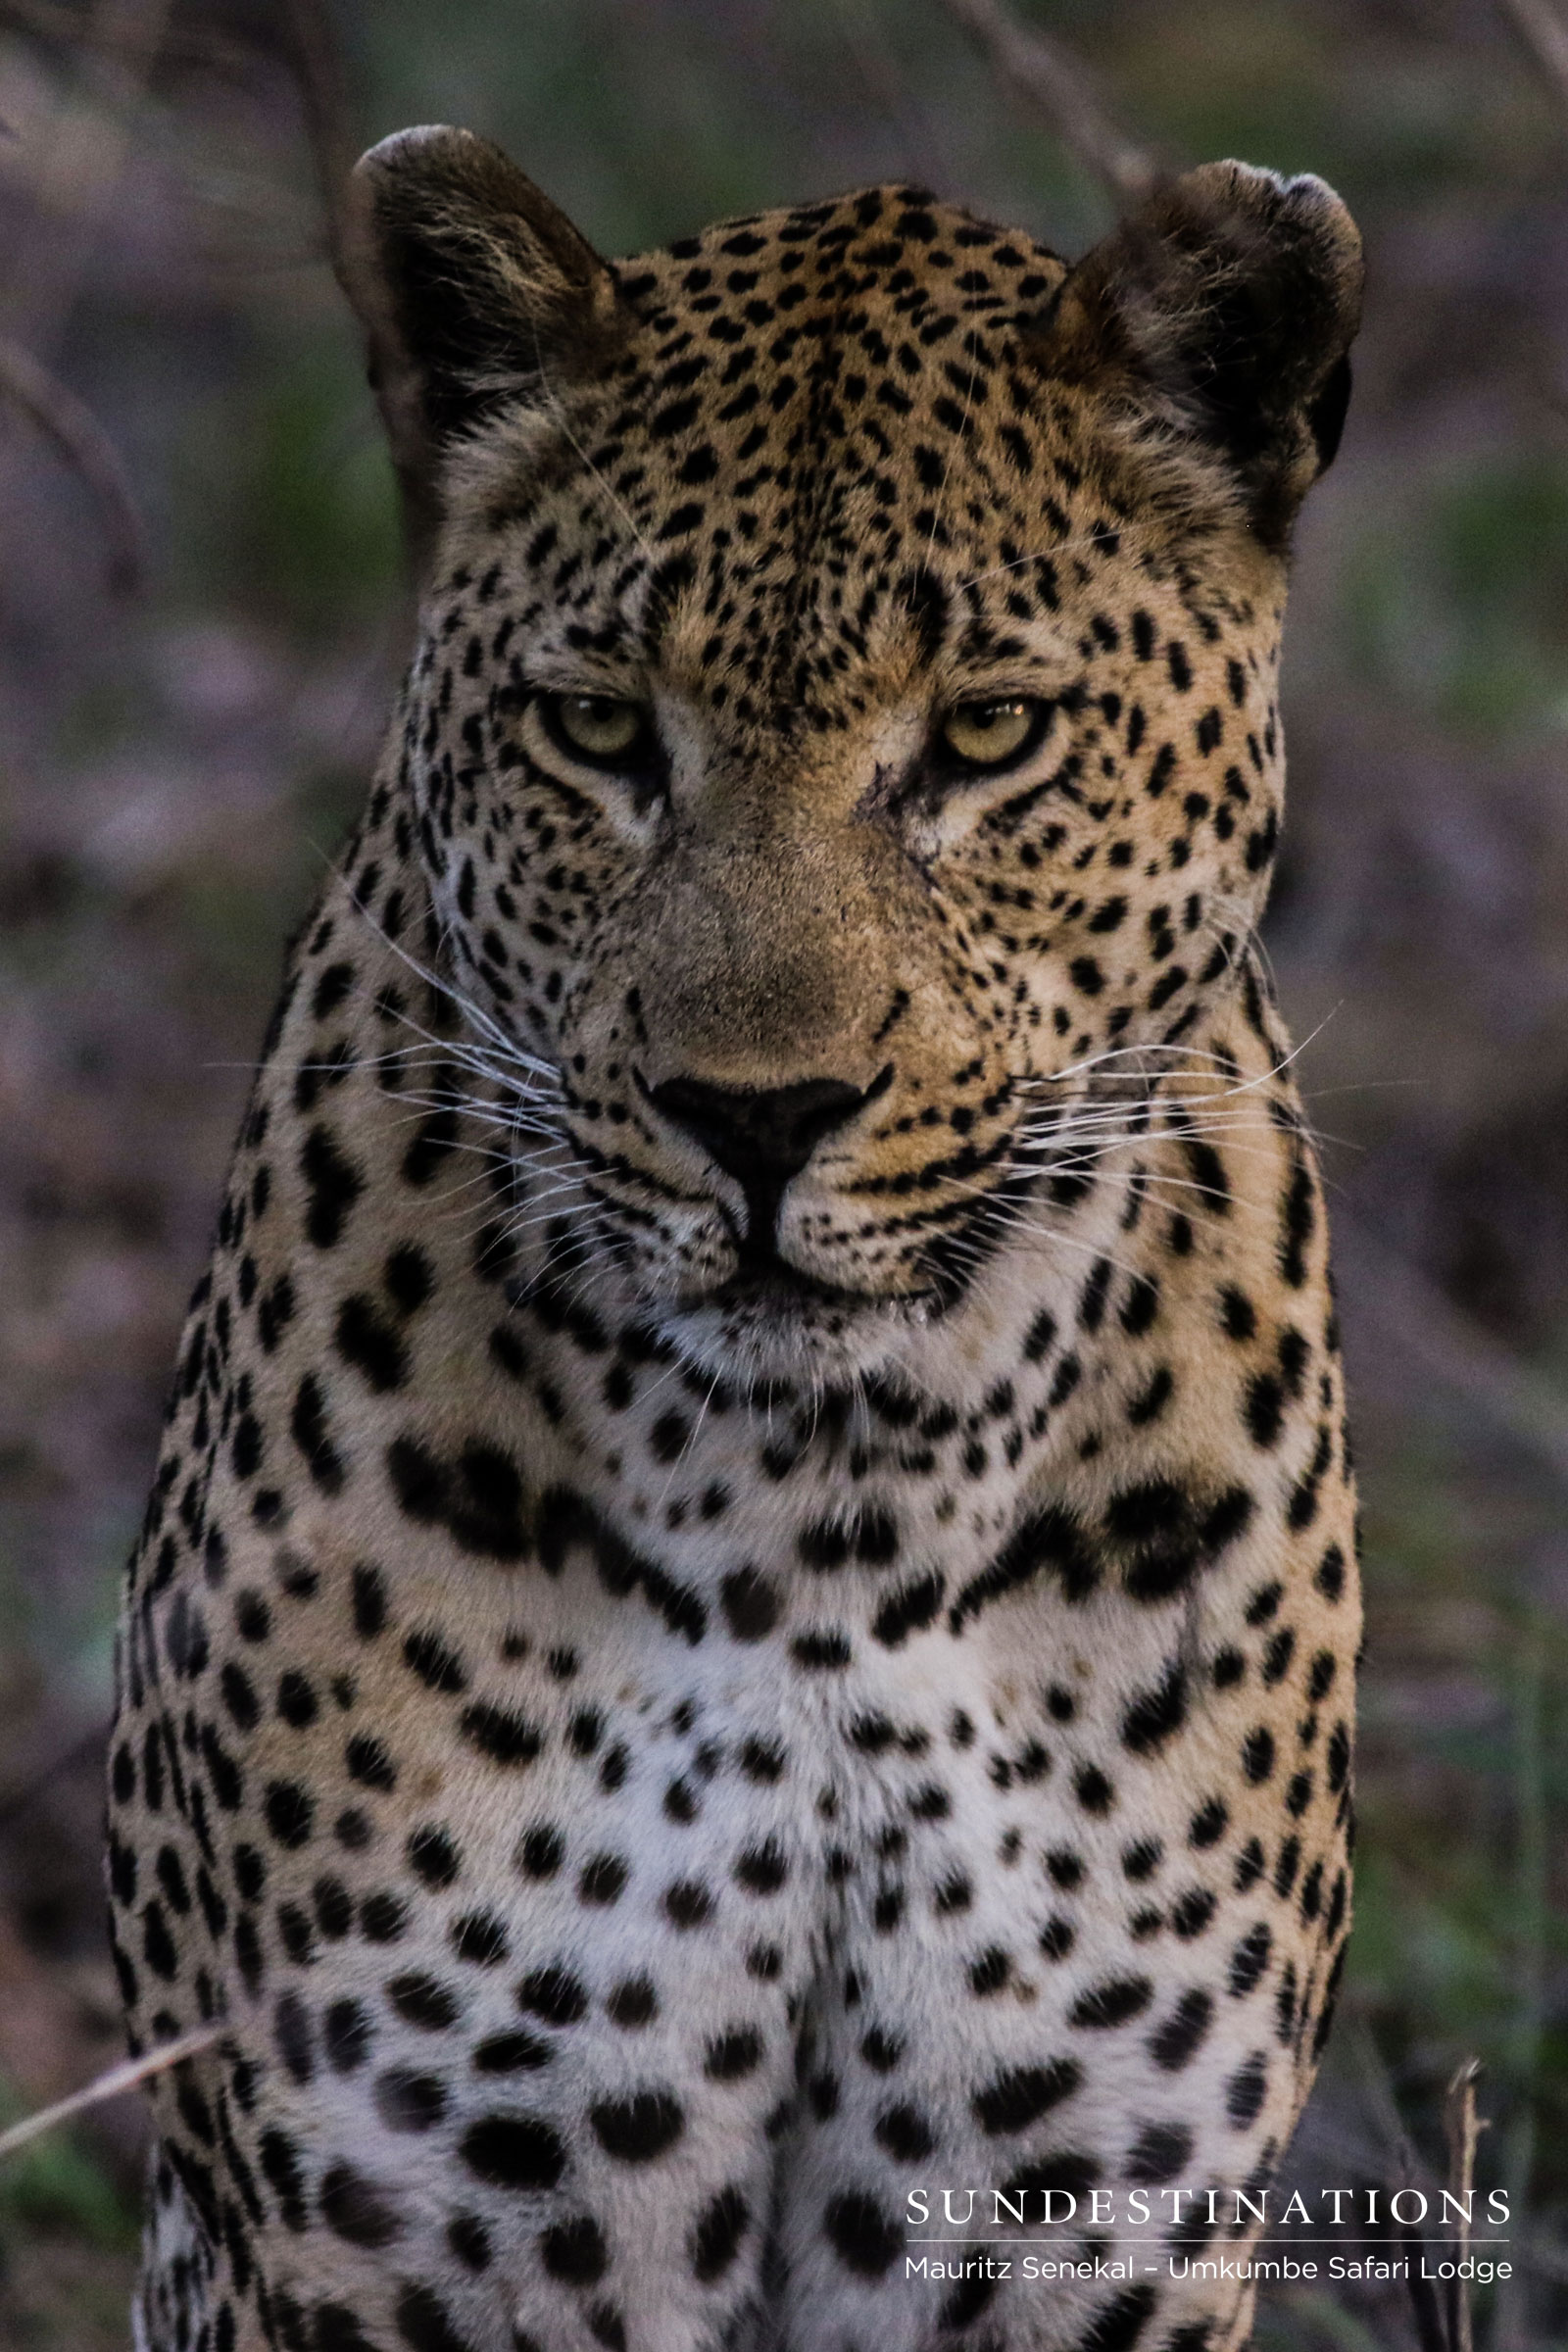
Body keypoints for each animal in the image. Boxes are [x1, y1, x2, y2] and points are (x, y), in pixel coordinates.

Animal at [107, 123, 1365, 2352]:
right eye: (604, 731)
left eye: (985, 737)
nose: (758, 1116)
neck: (830, 1533)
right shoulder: (425, 2226)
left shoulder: (1082, 2230)